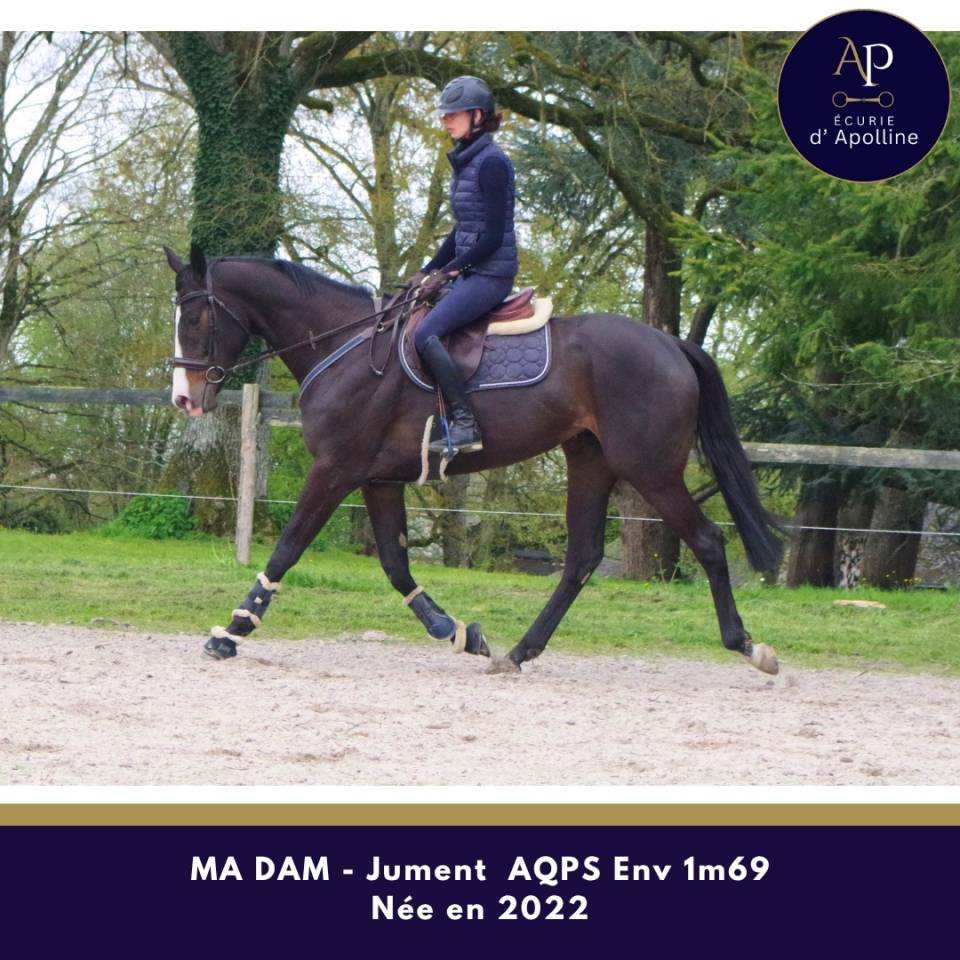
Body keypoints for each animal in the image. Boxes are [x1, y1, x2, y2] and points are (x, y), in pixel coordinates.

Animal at [166, 244, 782, 674]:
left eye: (195, 320)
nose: (183, 399)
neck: (346, 347)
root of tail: (669, 343)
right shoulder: (378, 479)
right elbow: (395, 564)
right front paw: (458, 632)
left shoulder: (336, 469)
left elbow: (288, 549)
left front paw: (231, 631)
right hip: (591, 462)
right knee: (582, 558)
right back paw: (520, 651)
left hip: (649, 468)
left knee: (707, 542)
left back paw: (749, 647)